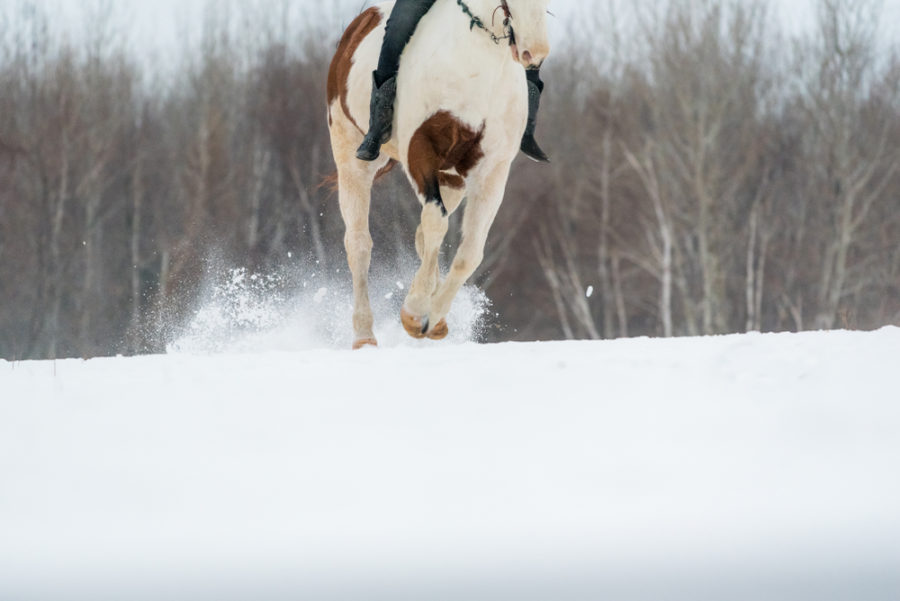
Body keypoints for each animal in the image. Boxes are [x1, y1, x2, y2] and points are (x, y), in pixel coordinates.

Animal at [326, 0, 548, 346]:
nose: (534, 52)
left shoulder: (492, 171)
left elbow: (470, 252)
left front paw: (434, 319)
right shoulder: (420, 150)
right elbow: (435, 223)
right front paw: (414, 314)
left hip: (453, 179)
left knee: (422, 236)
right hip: (351, 158)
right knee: (359, 244)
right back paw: (364, 336)